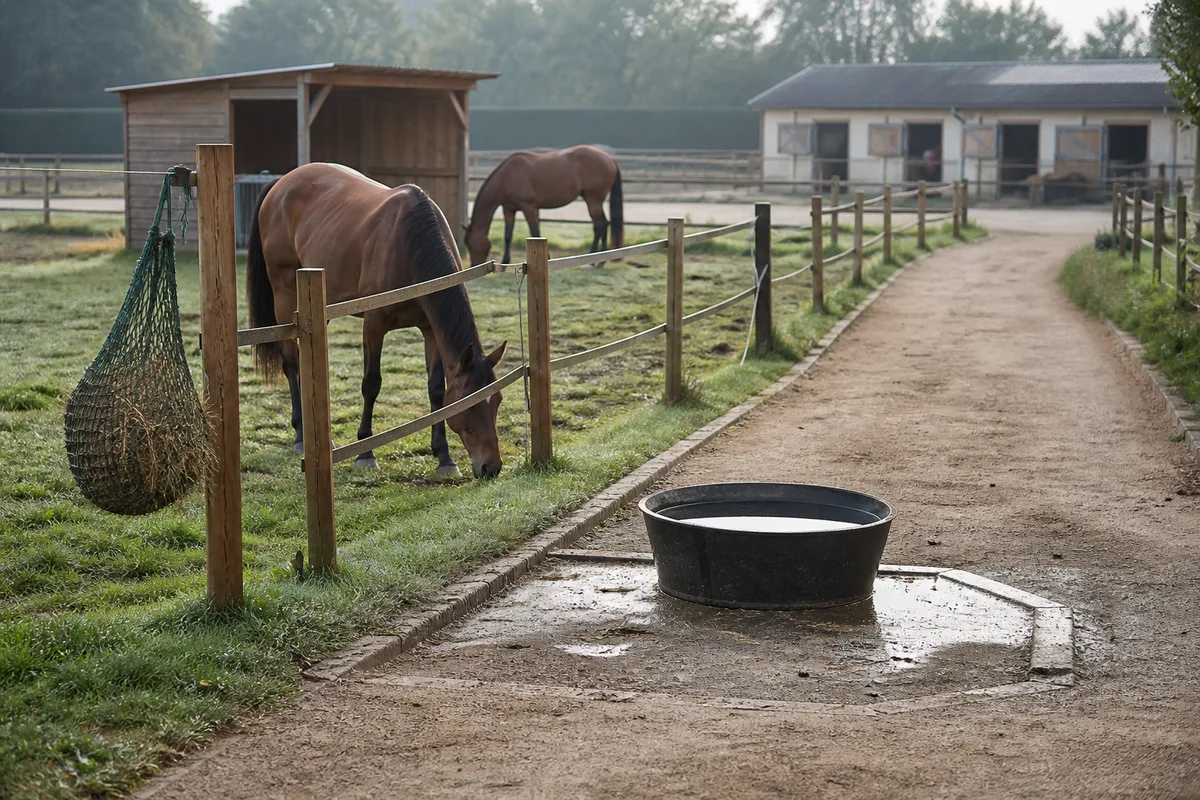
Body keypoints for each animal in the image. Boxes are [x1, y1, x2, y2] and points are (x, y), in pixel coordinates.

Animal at [246, 162, 508, 479]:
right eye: (469, 406)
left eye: (498, 400)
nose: (491, 467)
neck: (409, 244)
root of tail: (280, 183)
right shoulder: (374, 325)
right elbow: (371, 383)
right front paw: (366, 453)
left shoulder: (430, 330)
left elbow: (435, 389)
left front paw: (444, 457)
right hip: (285, 294)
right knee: (292, 363)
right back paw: (300, 436)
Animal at [464, 145, 624, 266]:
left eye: (471, 244)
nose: (473, 266)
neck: (507, 176)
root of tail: (610, 159)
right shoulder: (508, 209)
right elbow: (508, 235)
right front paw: (505, 261)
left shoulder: (528, 207)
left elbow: (535, 232)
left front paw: (546, 258)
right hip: (593, 199)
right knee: (603, 223)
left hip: (593, 200)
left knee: (600, 224)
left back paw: (596, 260)